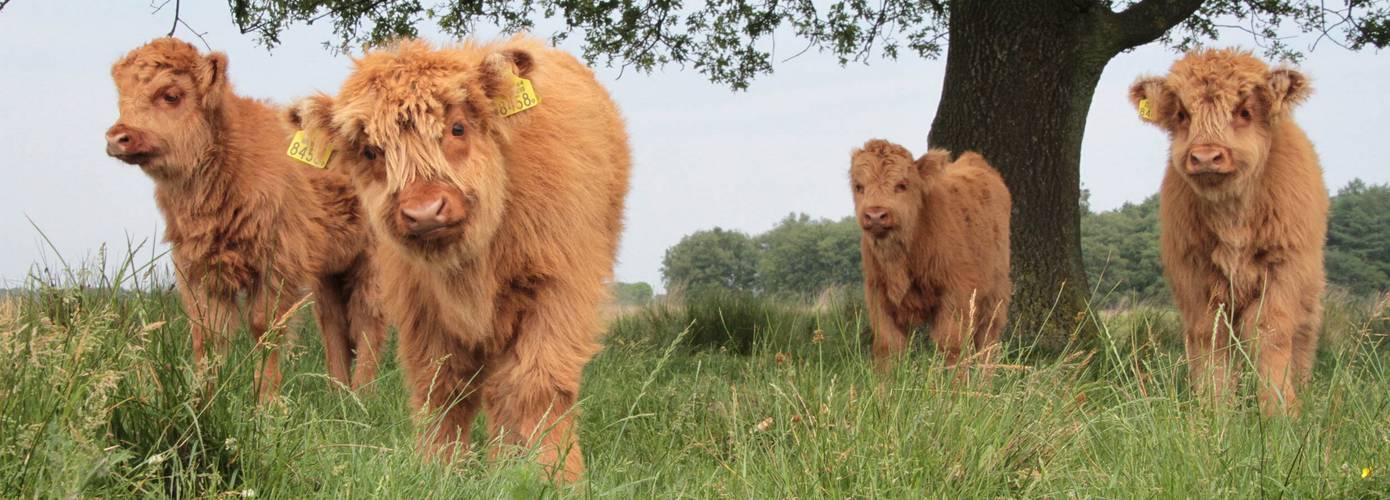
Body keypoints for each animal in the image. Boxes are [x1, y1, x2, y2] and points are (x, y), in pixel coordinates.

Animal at [103, 38, 389, 394]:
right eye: (121, 96)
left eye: (171, 95)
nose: (118, 137)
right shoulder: (197, 269)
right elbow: (207, 336)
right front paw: (205, 398)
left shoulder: (276, 265)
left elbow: (263, 329)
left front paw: (265, 399)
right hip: (330, 270)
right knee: (333, 323)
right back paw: (338, 393)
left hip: (373, 261)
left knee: (367, 322)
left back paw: (363, 395)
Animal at [293, 35, 636, 480]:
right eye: (370, 151)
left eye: (457, 128)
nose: (424, 211)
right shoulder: (421, 305)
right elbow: (440, 387)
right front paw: (437, 468)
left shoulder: (558, 288)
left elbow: (539, 384)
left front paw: (555, 474)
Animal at [845, 139, 1011, 372]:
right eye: (859, 186)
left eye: (902, 185)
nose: (875, 215)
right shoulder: (879, 297)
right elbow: (888, 348)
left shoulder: (955, 294)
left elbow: (951, 346)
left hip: (994, 296)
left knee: (986, 343)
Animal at [1128, 48, 1323, 413]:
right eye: (1182, 114)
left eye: (1244, 111)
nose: (1205, 157)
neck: (1232, 215)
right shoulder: (1193, 272)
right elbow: (1209, 336)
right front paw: (1213, 408)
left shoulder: (1284, 269)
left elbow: (1271, 332)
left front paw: (1279, 409)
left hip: (1310, 287)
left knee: (1303, 335)